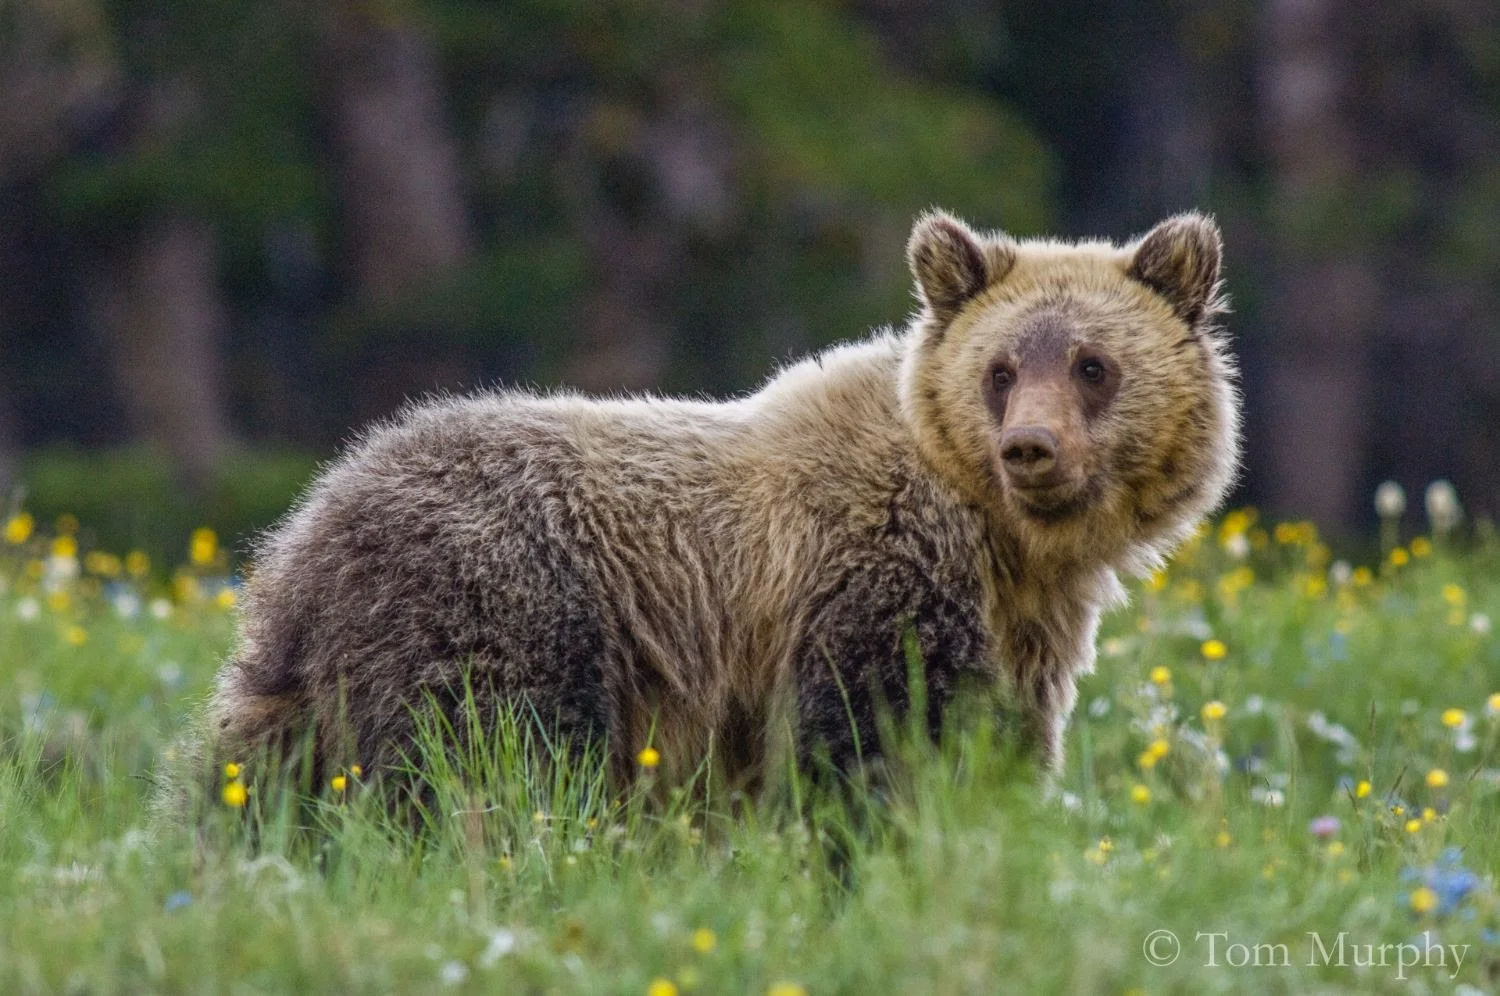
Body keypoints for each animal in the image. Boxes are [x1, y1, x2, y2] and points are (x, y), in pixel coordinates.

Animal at [176, 209, 1240, 807]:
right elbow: (869, 742)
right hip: (503, 607)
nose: (1031, 448)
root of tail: (319, 512)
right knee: (478, 768)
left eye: (1093, 364)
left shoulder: (1022, 632)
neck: (1003, 540)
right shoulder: (866, 582)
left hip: (307, 677)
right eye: (1003, 367)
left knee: (248, 785)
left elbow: (999, 739)